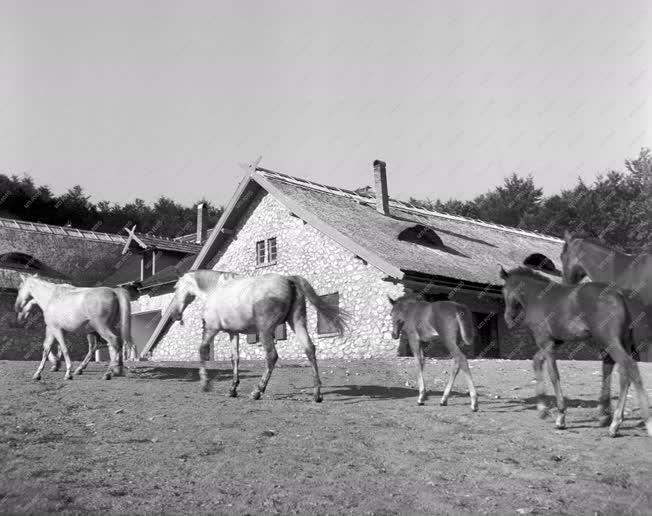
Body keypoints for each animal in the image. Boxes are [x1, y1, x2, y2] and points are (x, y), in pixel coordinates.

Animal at [171, 270, 348, 404]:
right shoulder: (233, 333)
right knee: (310, 349)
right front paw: (232, 389)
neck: (215, 290)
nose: (174, 315)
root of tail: (288, 279)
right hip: (297, 322)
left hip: (265, 331)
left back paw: (257, 391)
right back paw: (317, 394)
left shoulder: (212, 329)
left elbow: (202, 350)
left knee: (272, 356)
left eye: (175, 287)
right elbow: (235, 358)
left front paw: (205, 384)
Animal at [502, 266, 648, 440]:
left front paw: (560, 417)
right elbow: (536, 361)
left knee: (629, 366)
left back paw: (628, 423)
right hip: (621, 342)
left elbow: (554, 375)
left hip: (610, 342)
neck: (537, 297)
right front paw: (542, 408)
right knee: (623, 374)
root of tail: (619, 294)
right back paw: (611, 419)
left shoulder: (546, 342)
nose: (508, 319)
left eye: (504, 291)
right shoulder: (555, 343)